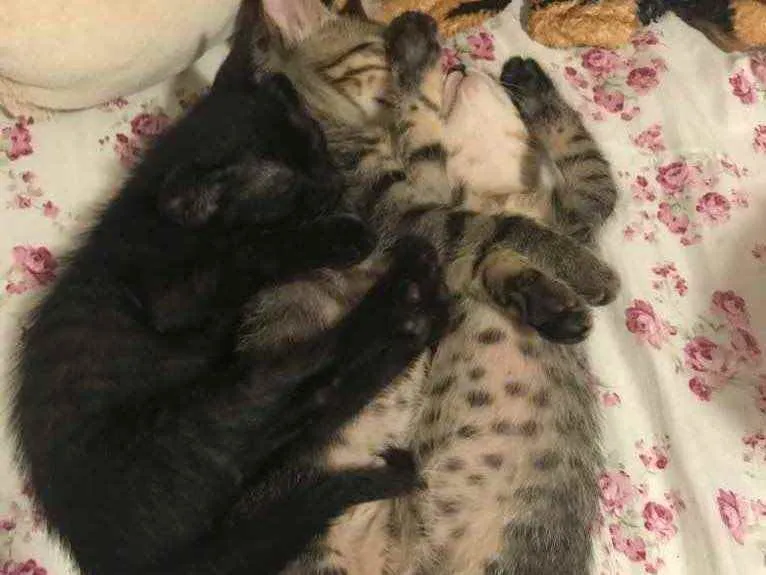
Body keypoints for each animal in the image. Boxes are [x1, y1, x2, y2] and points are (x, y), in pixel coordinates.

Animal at [11, 44, 453, 575]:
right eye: (294, 191)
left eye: (317, 143)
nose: (333, 179)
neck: (152, 208)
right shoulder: (171, 297)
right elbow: (252, 250)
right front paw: (339, 235)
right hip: (206, 411)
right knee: (312, 377)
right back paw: (409, 300)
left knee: (309, 408)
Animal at [227, 2, 619, 574]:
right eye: (382, 51)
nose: (460, 64)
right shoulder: (418, 221)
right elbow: (496, 211)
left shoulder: (547, 218)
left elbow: (579, 165)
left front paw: (530, 84)